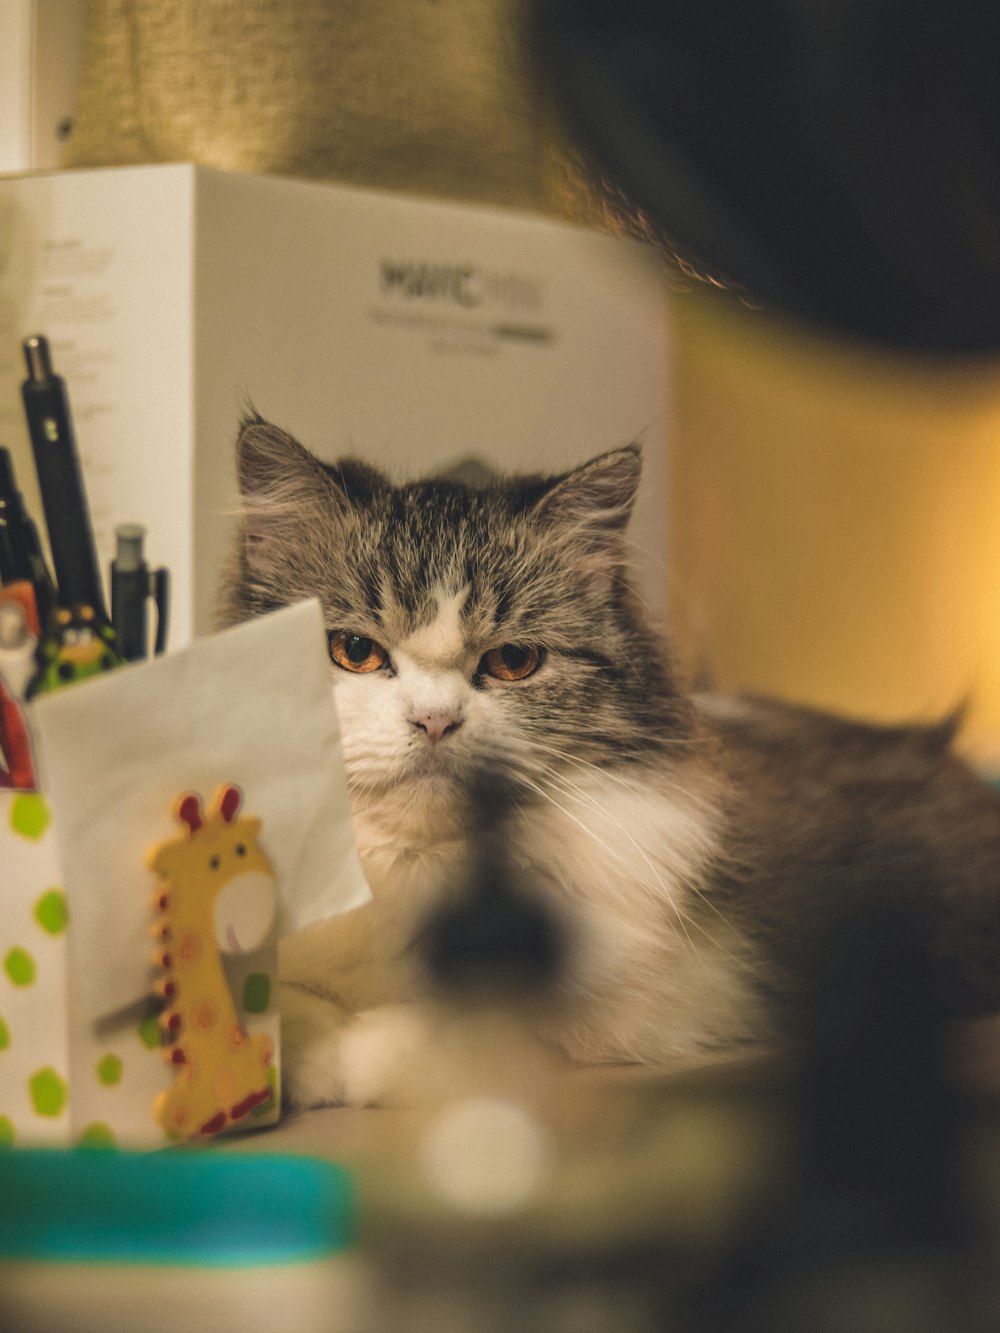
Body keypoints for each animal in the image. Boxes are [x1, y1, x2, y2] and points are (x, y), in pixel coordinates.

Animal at [217, 413, 1000, 1103]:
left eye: (513, 662)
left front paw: (346, 1060)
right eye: (354, 651)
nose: (435, 722)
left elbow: (460, 1028)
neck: (413, 875)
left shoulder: (673, 993)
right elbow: (289, 998)